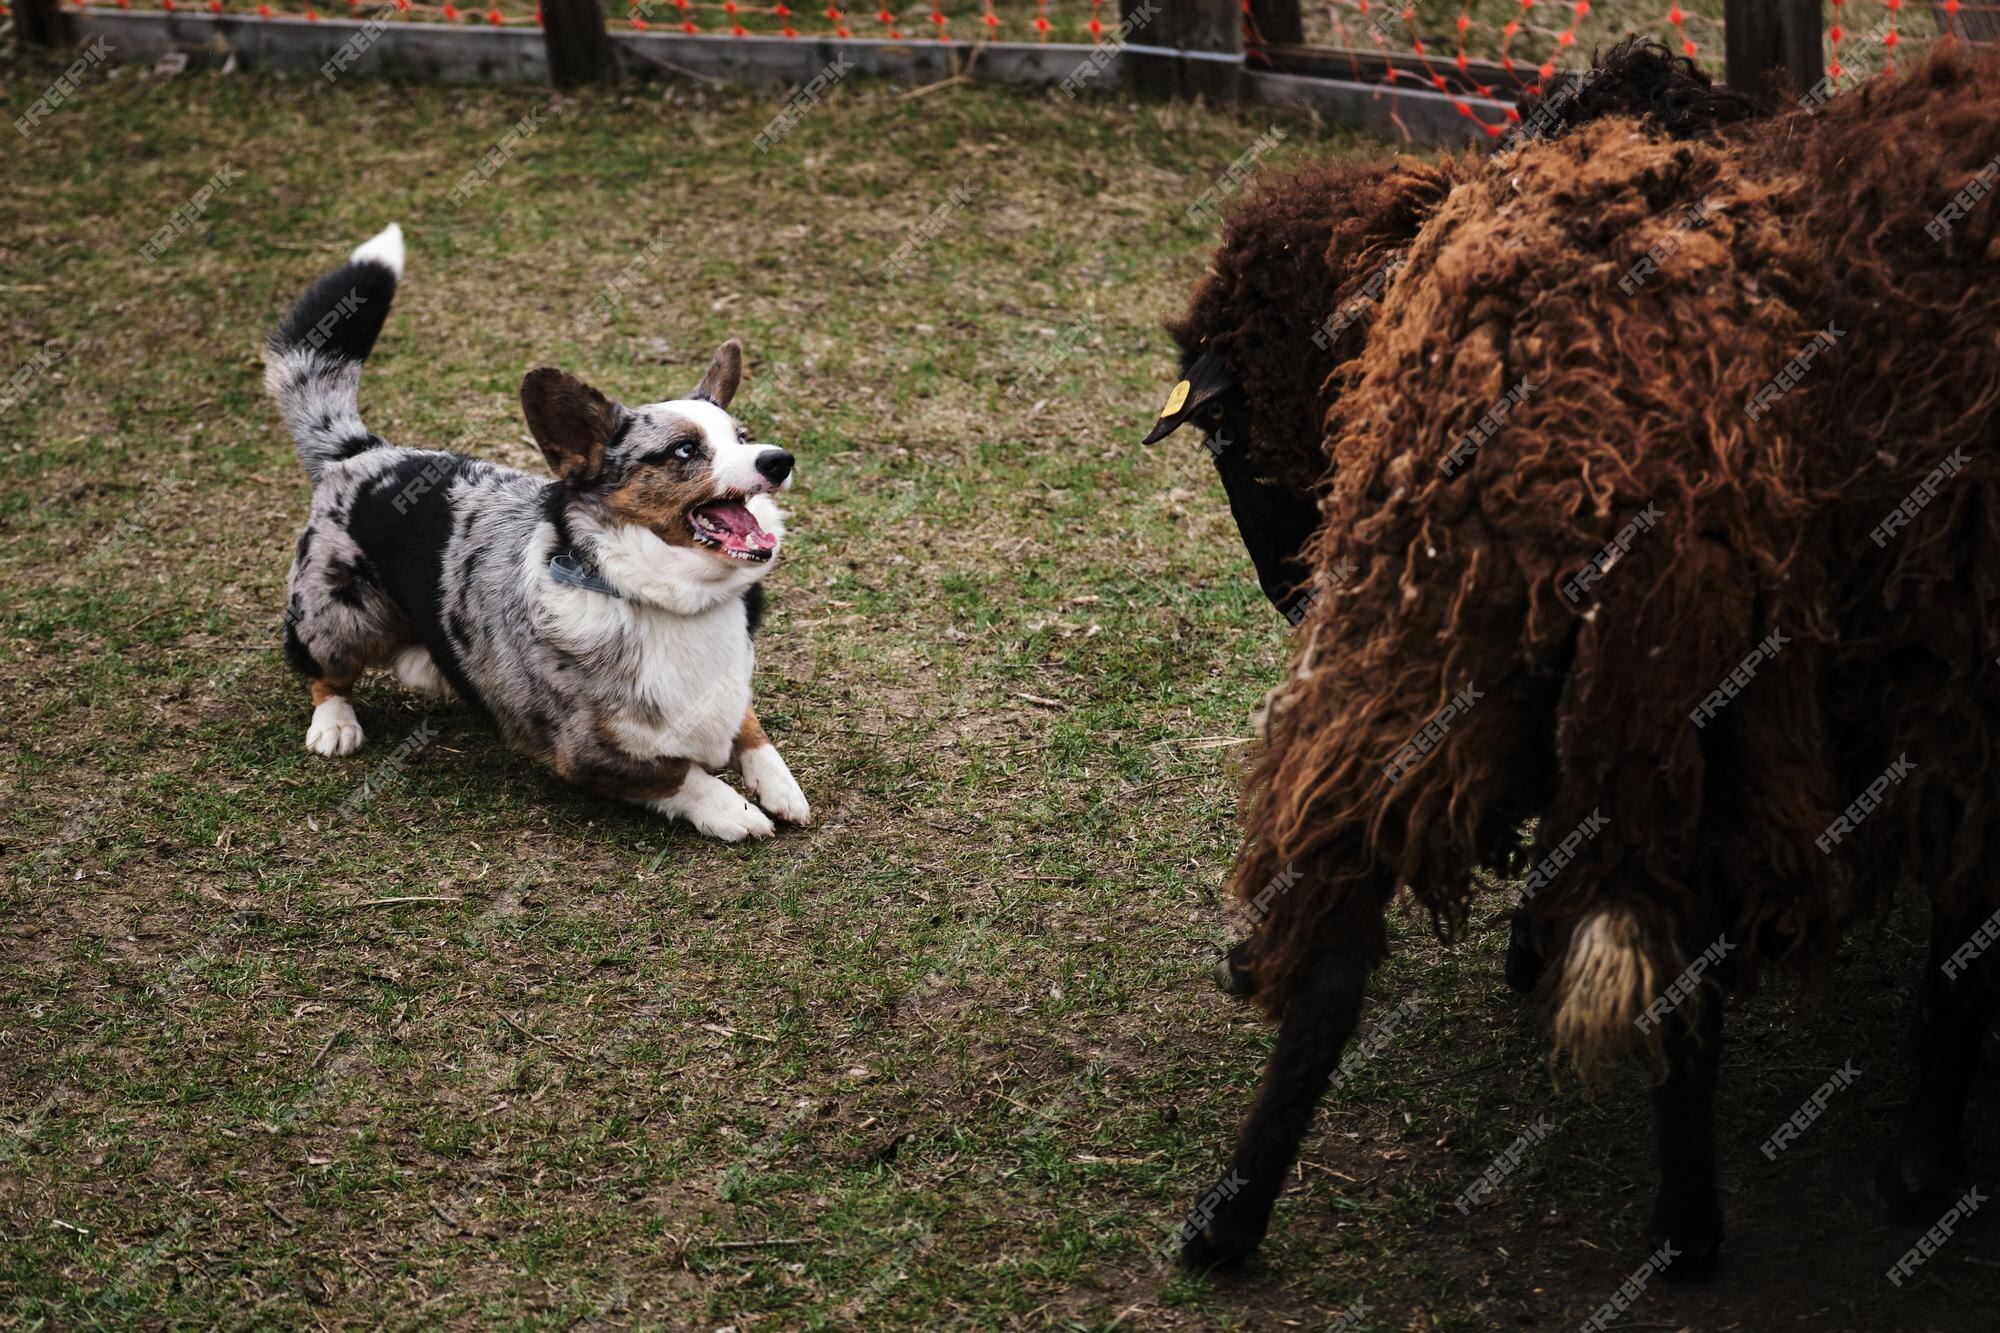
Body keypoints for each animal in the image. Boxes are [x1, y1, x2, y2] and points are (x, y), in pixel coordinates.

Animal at [266, 223, 812, 836]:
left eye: (742, 437)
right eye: (685, 451)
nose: (780, 460)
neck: (669, 600)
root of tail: (360, 452)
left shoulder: (732, 694)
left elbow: (752, 730)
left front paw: (781, 787)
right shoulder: (589, 750)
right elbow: (682, 774)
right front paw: (735, 811)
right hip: (343, 617)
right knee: (322, 670)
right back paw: (335, 724)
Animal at [1152, 41, 2000, 1272]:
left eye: (1222, 430)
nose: (1287, 592)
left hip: (1434, 641)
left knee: (1343, 937)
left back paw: (1224, 1217)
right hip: (1755, 681)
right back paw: (1704, 1229)